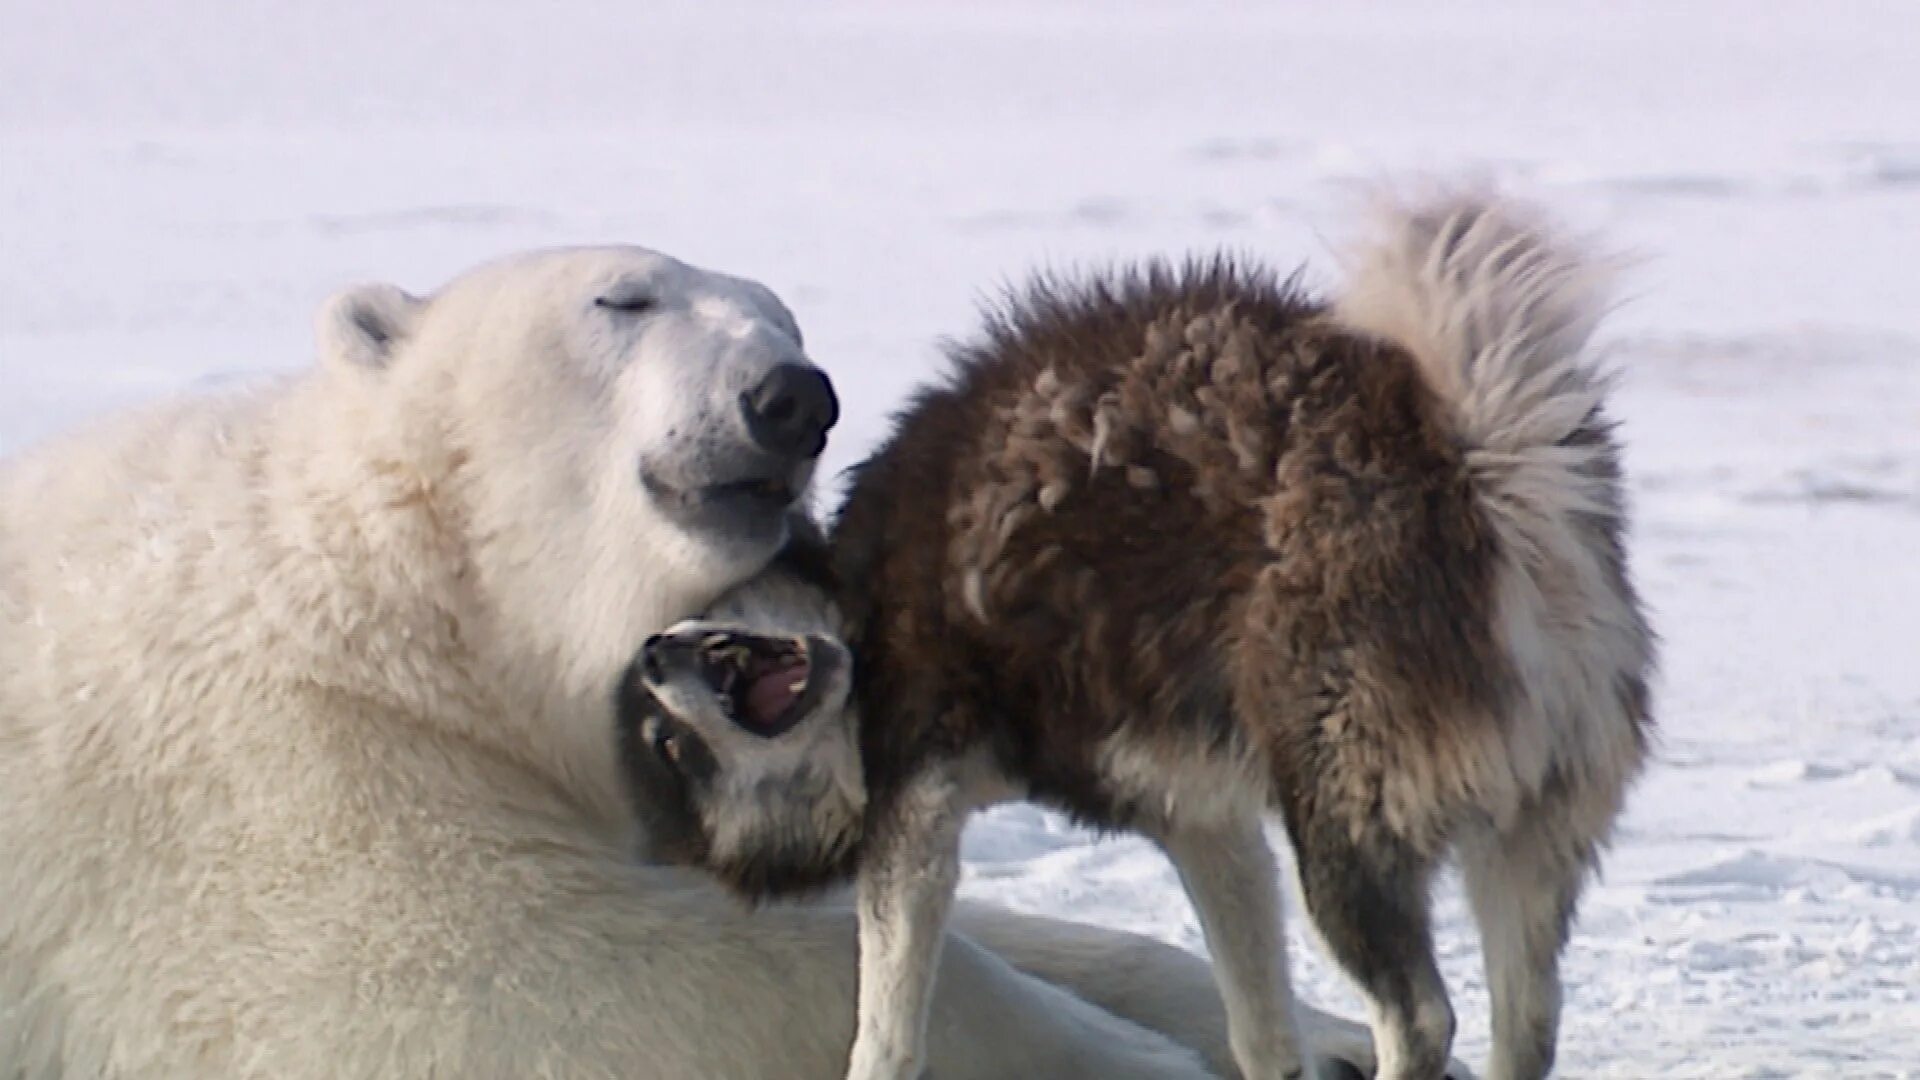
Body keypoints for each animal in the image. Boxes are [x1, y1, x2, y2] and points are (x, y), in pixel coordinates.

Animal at [0, 245, 1443, 1076]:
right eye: (623, 298)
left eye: (784, 313)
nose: (793, 396)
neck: (399, 595)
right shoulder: (280, 795)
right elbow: (562, 990)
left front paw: (1314, 1035)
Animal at [629, 193, 1651, 1076]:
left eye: (670, 747)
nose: (650, 655)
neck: (861, 597)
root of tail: (1472, 467)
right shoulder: (1202, 822)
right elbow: (1259, 1024)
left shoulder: (915, 792)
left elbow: (885, 1018)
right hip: (1524, 834)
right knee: (1528, 1017)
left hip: (1346, 813)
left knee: (1421, 1014)